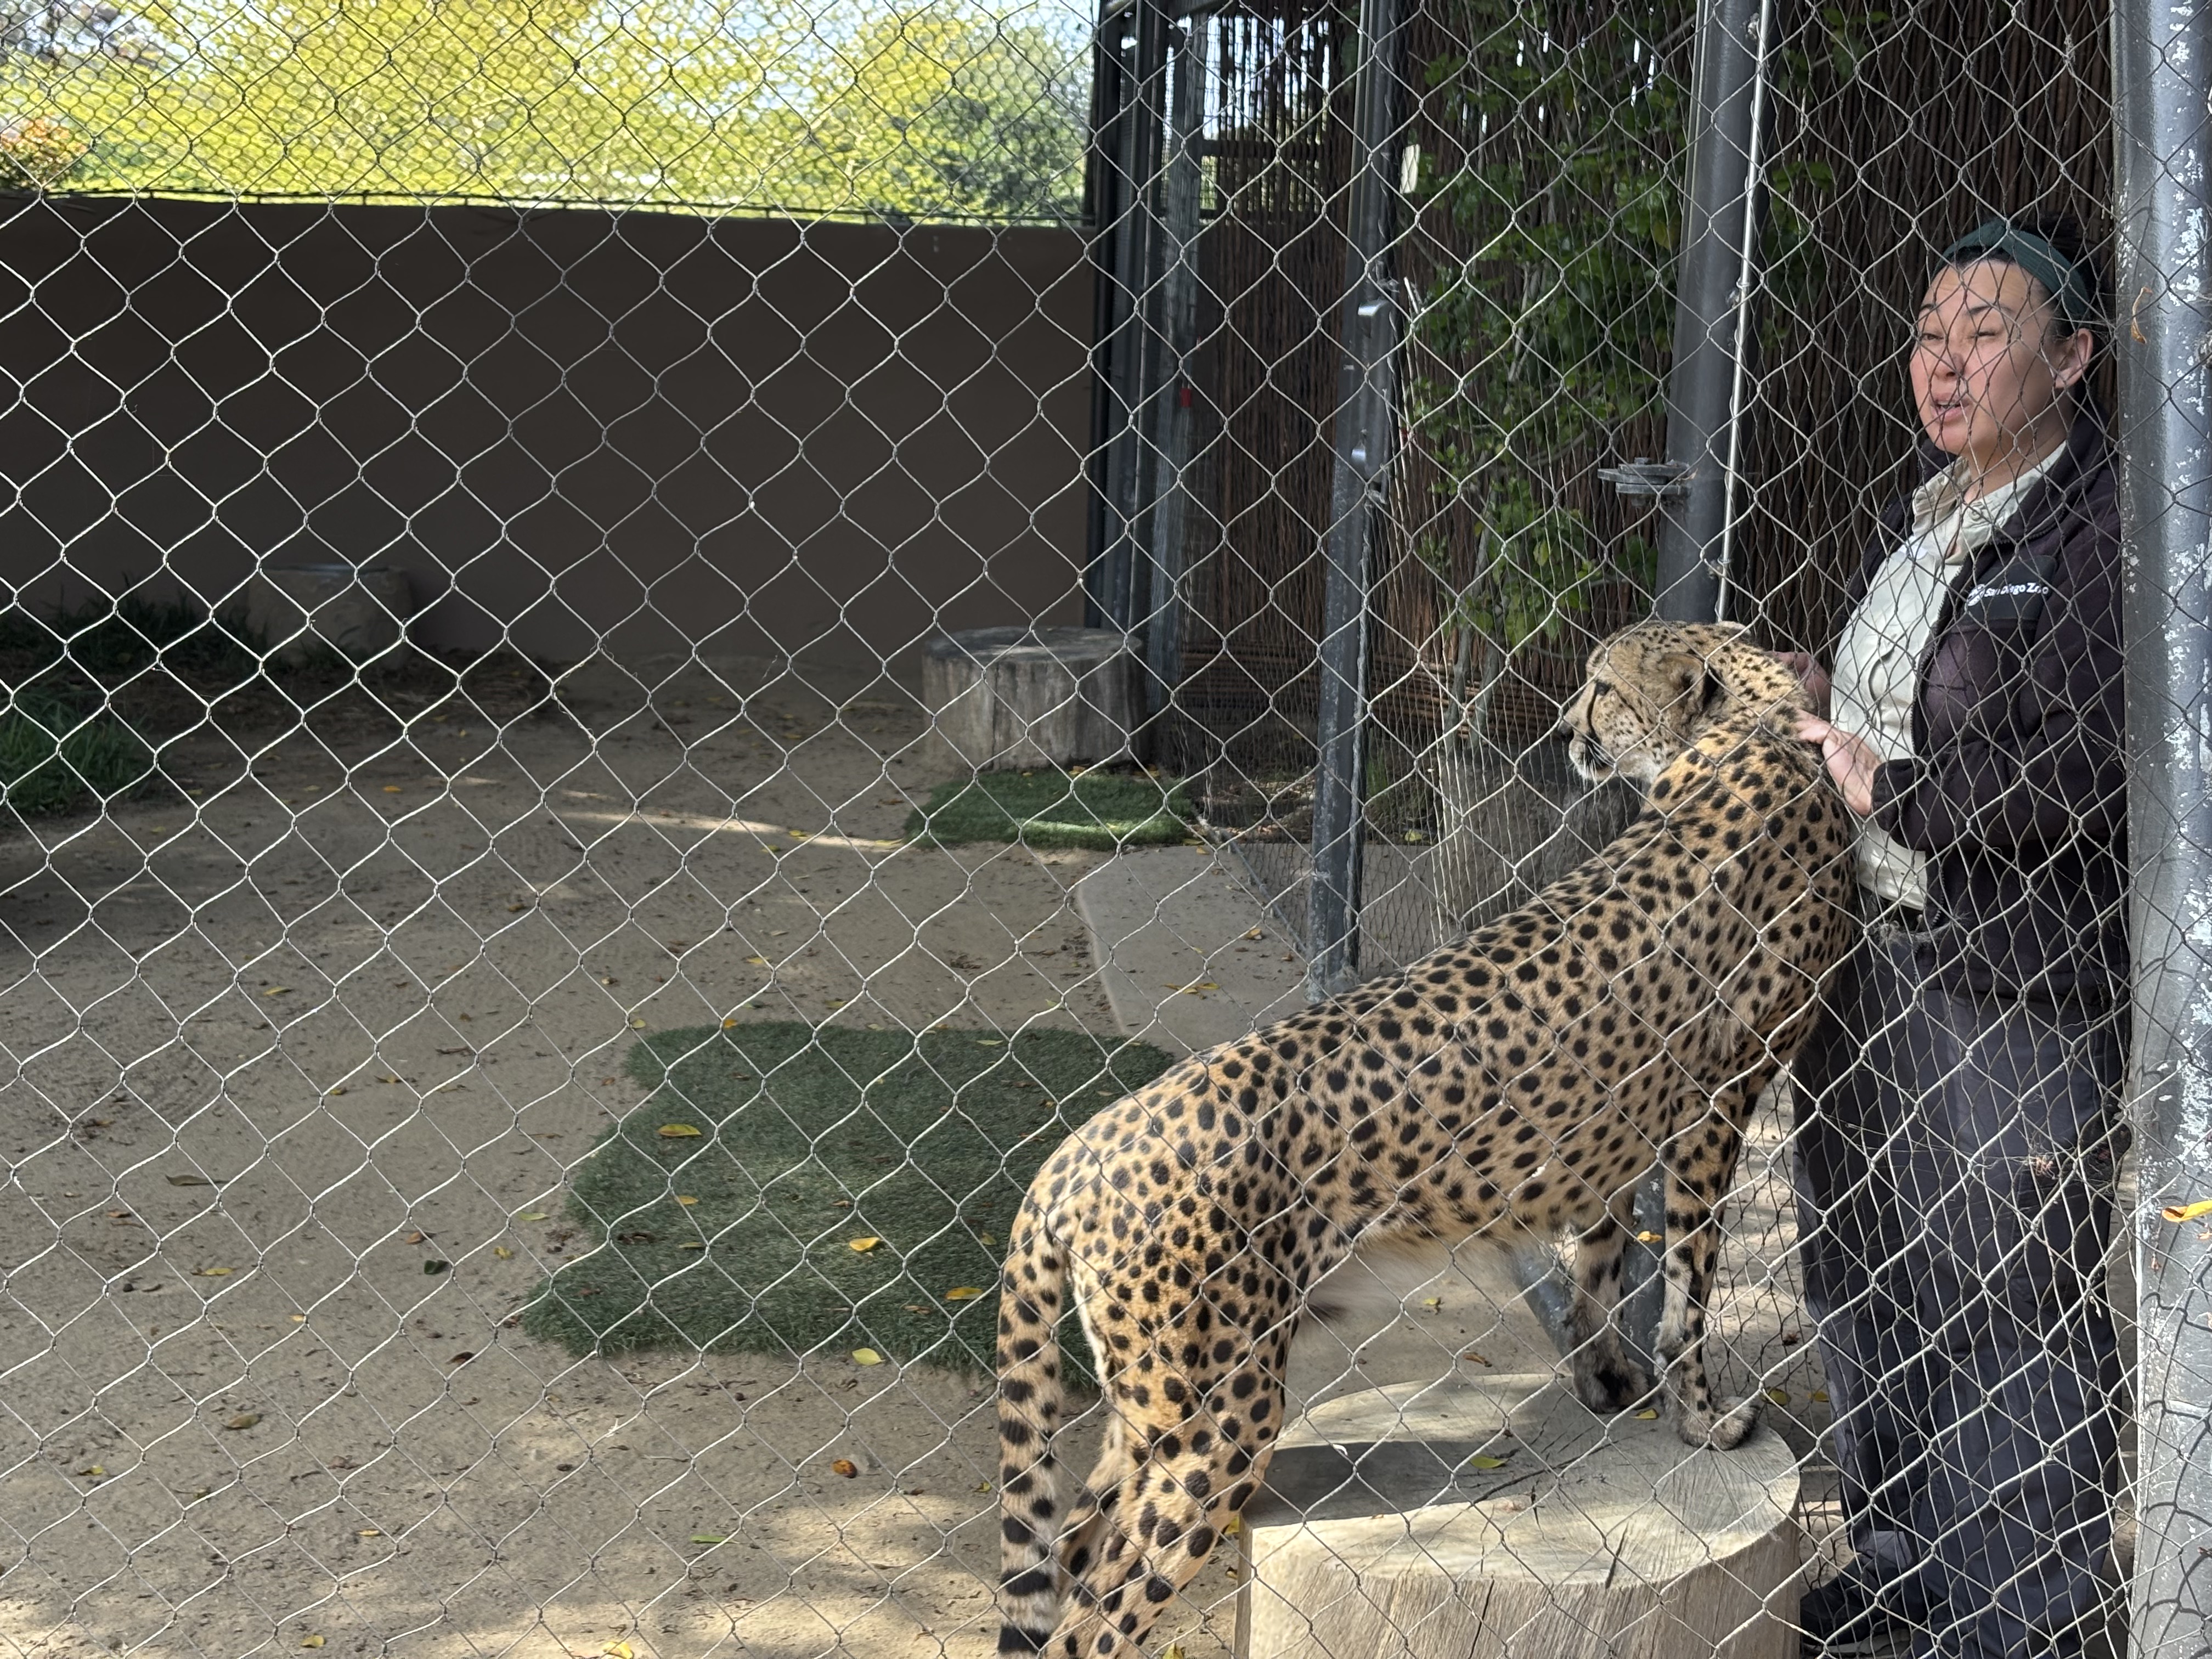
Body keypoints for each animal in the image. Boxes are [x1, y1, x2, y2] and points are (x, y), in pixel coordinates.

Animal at [993, 620, 1855, 1657]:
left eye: (1602, 688)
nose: (1566, 730)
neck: (1747, 732)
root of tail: (1086, 1142)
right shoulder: (1713, 1105)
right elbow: (1688, 1289)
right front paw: (1701, 1418)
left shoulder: (1624, 1122)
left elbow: (1603, 1267)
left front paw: (1606, 1378)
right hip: (1217, 1422)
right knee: (1095, 1618)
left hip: (1148, 1415)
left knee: (1074, 1542)